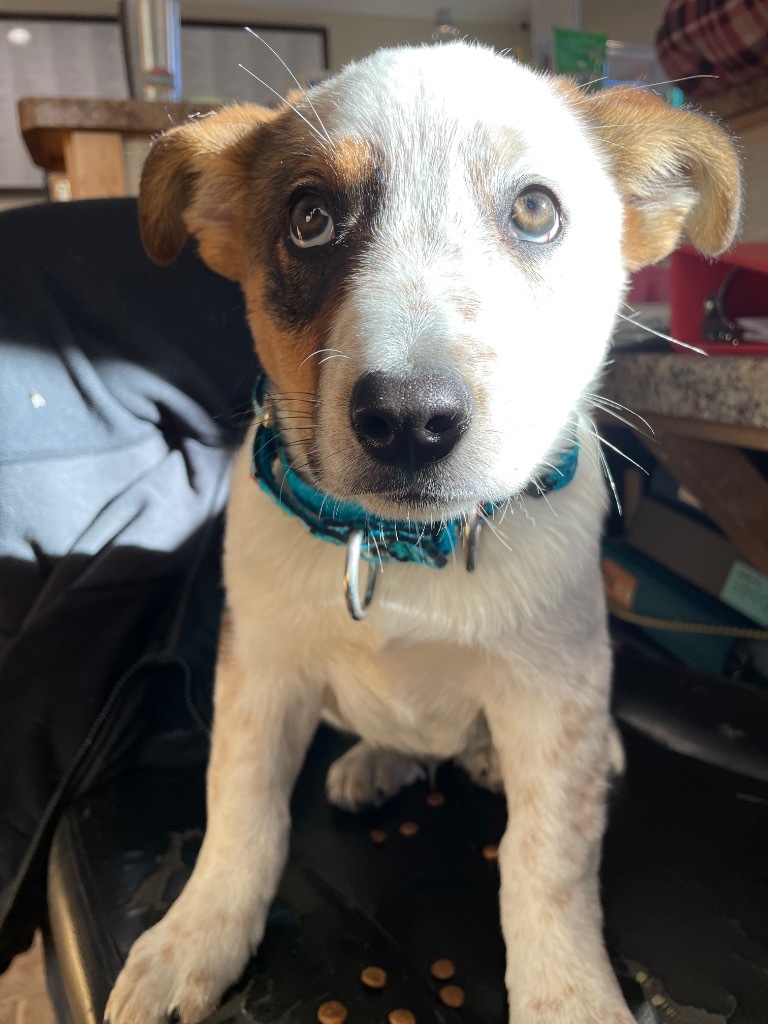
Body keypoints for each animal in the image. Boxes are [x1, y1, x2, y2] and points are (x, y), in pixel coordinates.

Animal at [105, 39, 741, 1024]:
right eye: (311, 218)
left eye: (535, 210)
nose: (409, 421)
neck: (404, 550)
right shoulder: (261, 671)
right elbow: (241, 808)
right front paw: (197, 933)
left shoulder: (552, 695)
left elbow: (547, 862)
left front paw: (567, 989)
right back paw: (378, 762)